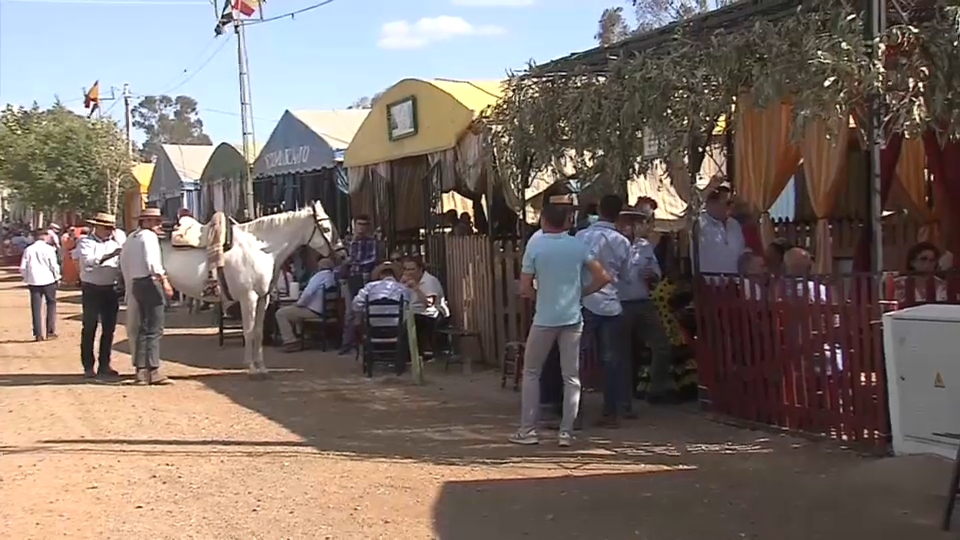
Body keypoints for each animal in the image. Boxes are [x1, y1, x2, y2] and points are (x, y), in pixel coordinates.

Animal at [124, 199, 342, 380]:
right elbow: (248, 332)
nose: (342, 253)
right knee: (133, 328)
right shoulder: (249, 298)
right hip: (134, 297)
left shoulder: (263, 299)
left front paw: (262, 368)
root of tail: (132, 238)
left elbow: (258, 333)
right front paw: (251, 368)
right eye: (325, 227)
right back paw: (139, 371)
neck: (259, 249)